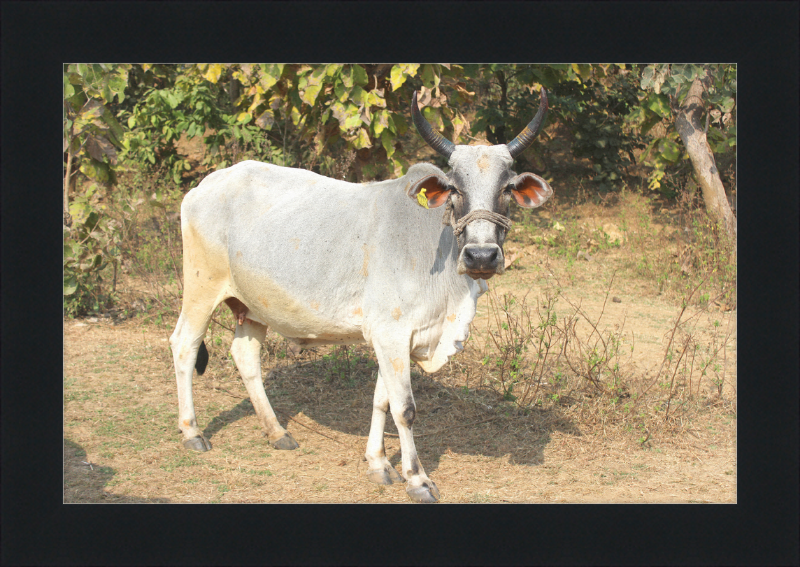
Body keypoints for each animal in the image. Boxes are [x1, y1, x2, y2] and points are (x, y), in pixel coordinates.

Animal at [169, 86, 552, 504]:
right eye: (454, 188)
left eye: (507, 188)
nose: (481, 256)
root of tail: (204, 186)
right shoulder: (391, 333)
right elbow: (405, 409)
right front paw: (417, 479)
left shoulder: (397, 338)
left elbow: (381, 400)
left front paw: (378, 464)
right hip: (201, 288)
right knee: (184, 345)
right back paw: (192, 432)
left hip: (253, 306)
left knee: (245, 356)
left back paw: (277, 432)